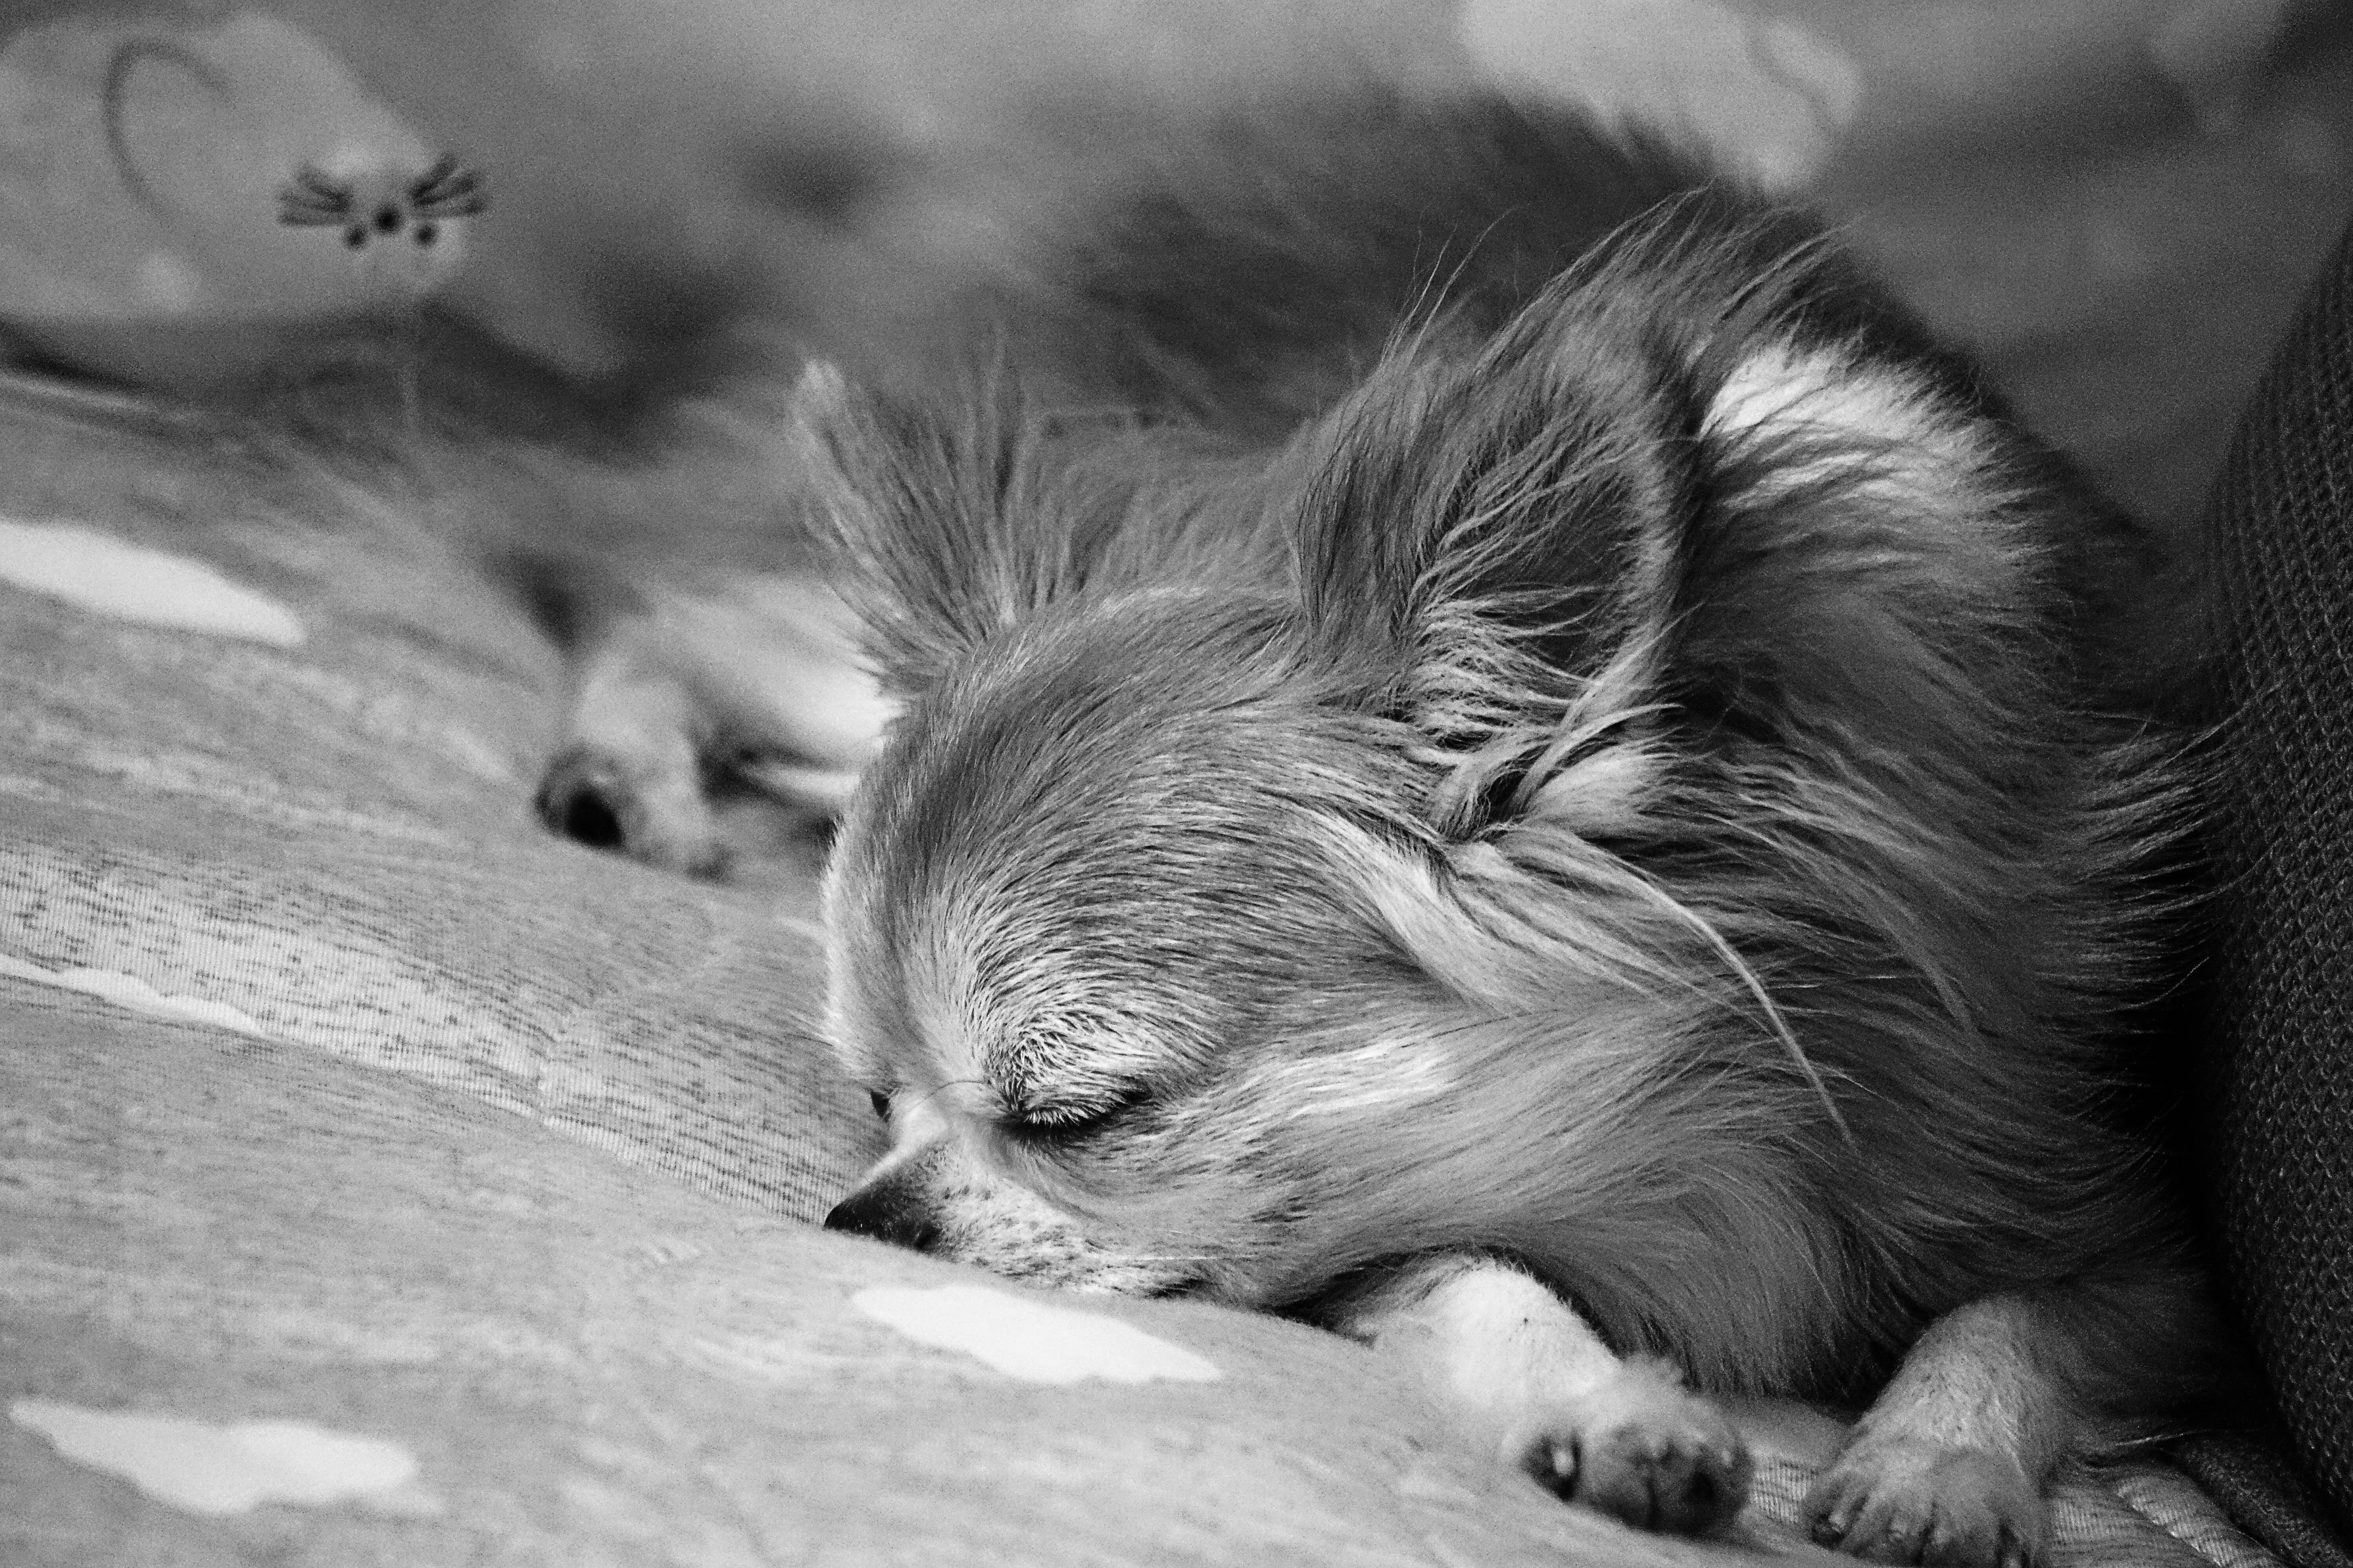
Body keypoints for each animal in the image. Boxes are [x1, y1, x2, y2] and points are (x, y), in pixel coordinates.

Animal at [523, 85, 2227, 1565]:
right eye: (875, 1099)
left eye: (1081, 1114)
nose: (857, 1217)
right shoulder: (1386, 1223)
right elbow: (1488, 1282)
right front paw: (1609, 1409)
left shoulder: (2137, 1234)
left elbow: (2009, 1319)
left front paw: (1936, 1464)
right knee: (665, 603)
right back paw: (625, 771)